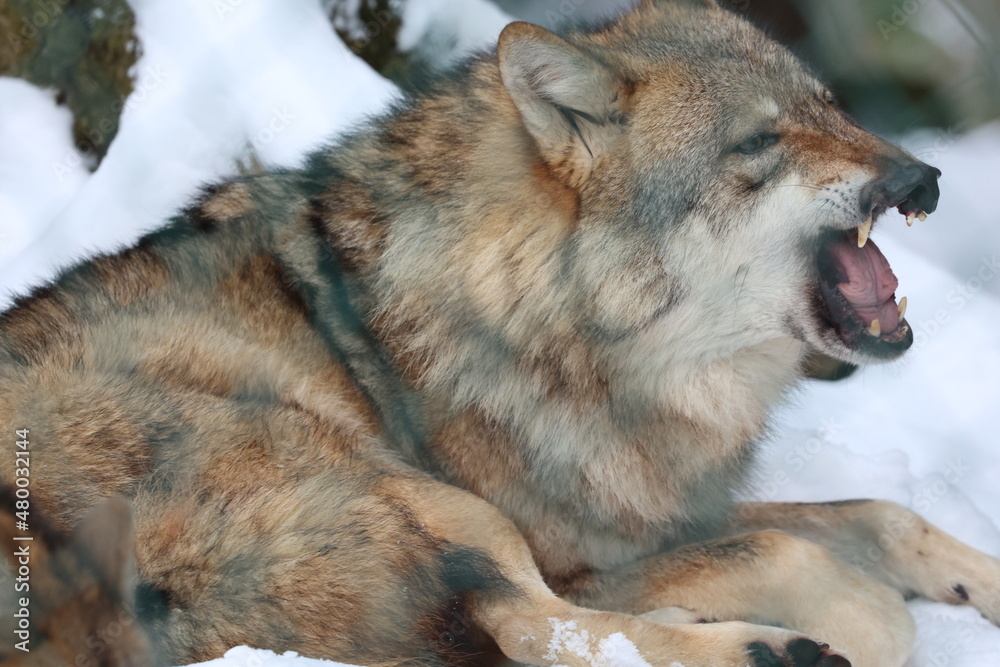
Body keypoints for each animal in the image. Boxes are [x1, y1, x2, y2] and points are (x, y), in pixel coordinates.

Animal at [1, 0, 998, 665]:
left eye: (832, 108)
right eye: (759, 143)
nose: (922, 177)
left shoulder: (651, 521)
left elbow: (882, 513)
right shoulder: (578, 557)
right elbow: (822, 567)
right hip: (415, 495)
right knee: (528, 626)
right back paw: (761, 646)